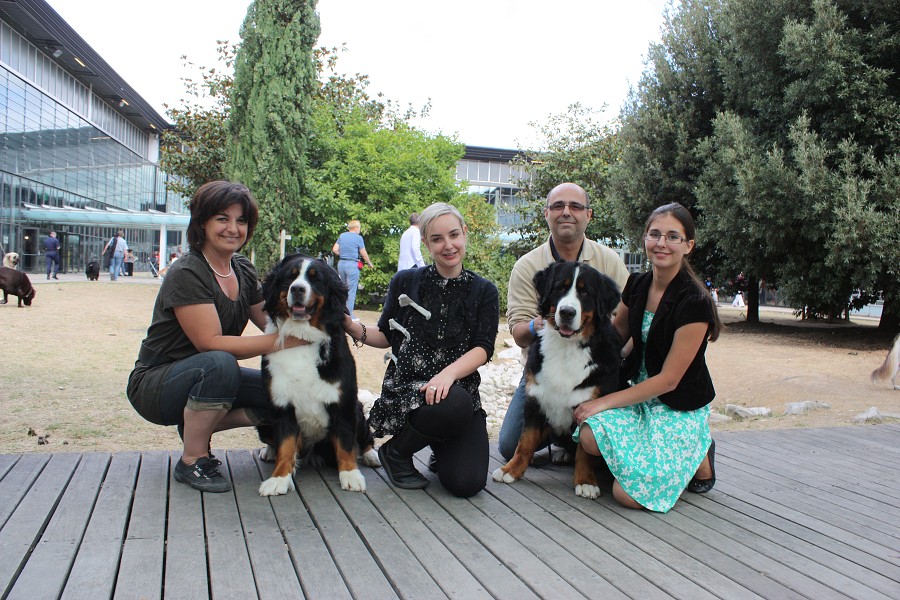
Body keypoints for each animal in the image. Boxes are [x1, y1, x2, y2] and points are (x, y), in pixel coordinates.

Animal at [256, 253, 380, 496]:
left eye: (315, 279)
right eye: (290, 277)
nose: (297, 289)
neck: (302, 338)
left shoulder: (343, 401)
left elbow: (345, 441)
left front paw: (350, 474)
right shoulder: (281, 403)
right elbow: (285, 444)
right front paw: (279, 478)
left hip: (358, 408)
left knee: (364, 437)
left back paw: (370, 455)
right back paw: (270, 451)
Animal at [488, 262, 624, 496]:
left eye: (585, 292)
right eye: (561, 287)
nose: (567, 312)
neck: (566, 348)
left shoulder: (588, 406)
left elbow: (584, 450)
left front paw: (585, 481)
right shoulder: (536, 400)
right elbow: (524, 443)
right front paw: (511, 470)